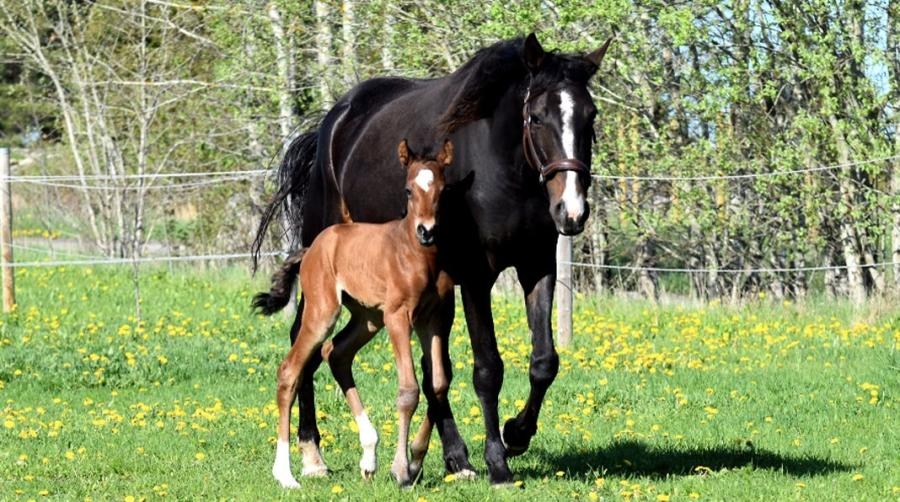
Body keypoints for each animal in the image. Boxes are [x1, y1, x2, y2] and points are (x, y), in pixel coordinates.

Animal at [266, 139, 450, 488]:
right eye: (408, 190)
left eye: (442, 190)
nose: (428, 231)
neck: (417, 254)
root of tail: (310, 249)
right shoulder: (398, 316)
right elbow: (409, 390)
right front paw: (401, 470)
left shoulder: (436, 318)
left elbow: (438, 384)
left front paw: (416, 460)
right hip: (324, 312)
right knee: (289, 370)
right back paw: (285, 474)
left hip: (367, 319)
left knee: (336, 353)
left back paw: (369, 456)